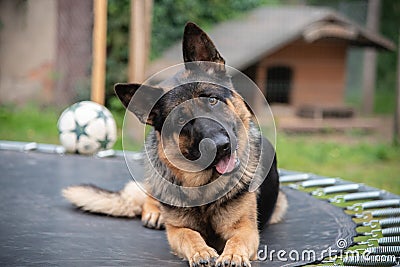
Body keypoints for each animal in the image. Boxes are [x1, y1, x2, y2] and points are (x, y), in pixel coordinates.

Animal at [63, 23, 288, 267]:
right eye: (181, 120)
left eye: (212, 100)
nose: (220, 146)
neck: (204, 187)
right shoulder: (176, 230)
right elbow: (189, 235)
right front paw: (201, 251)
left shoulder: (246, 229)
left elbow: (237, 240)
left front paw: (232, 255)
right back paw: (154, 212)